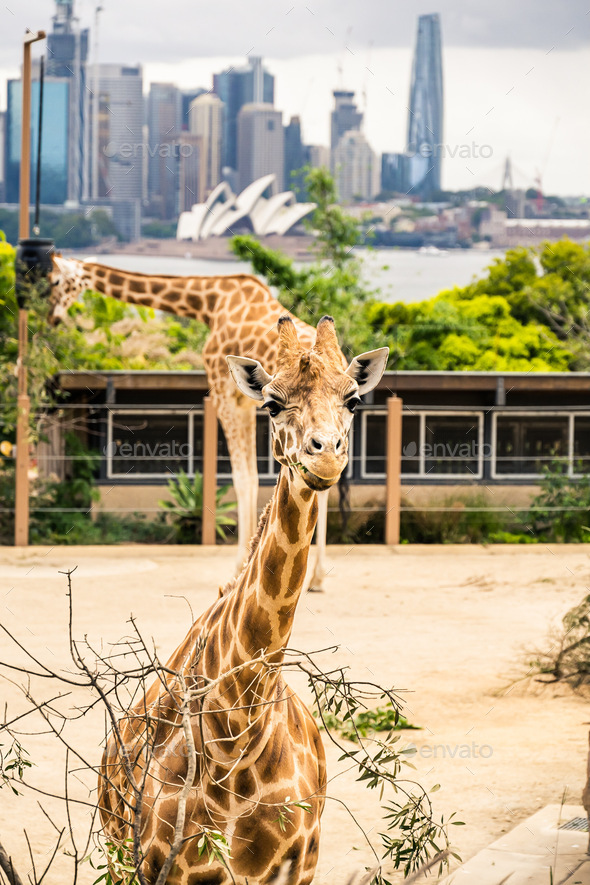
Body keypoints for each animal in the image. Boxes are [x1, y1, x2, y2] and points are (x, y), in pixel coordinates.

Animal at [49, 255, 345, 590]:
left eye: (56, 281)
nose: (52, 317)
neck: (208, 303)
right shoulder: (246, 401)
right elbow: (253, 476)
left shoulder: (225, 393)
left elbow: (244, 478)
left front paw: (239, 566)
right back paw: (317, 576)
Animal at [98, 315, 389, 884]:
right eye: (272, 404)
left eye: (352, 399)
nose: (325, 454)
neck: (237, 728)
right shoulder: (161, 864)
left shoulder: (300, 863)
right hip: (114, 855)